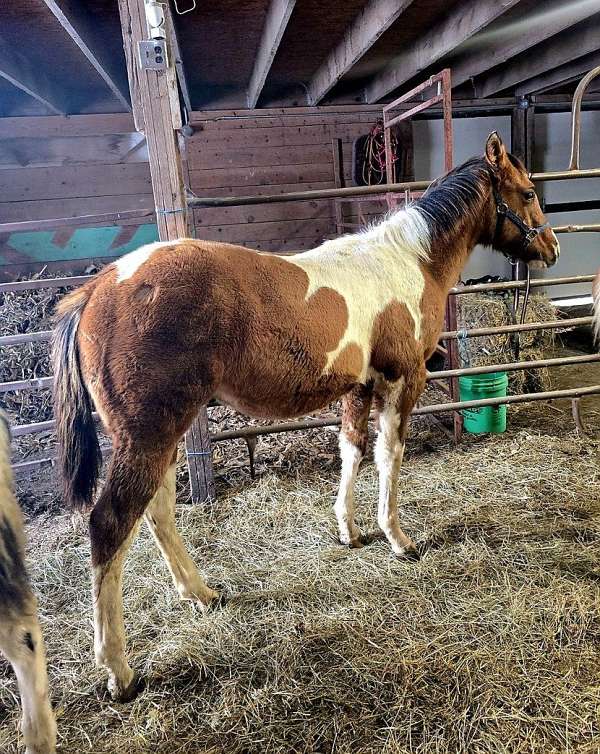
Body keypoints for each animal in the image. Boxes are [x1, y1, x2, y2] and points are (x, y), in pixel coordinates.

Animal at [52, 131, 558, 701]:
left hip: (161, 431)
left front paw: (348, 531)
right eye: (528, 192)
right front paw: (398, 540)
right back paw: (119, 670)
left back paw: (201, 593)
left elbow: (352, 450)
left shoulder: (360, 385)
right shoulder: (403, 379)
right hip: (149, 431)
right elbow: (390, 456)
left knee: (157, 508)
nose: (552, 248)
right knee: (111, 524)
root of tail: (98, 288)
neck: (410, 261)